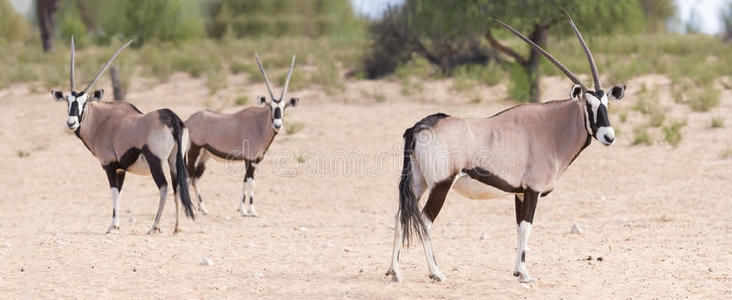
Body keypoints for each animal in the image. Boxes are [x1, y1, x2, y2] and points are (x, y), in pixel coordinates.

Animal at [50, 37, 196, 234]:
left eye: (85, 102)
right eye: (68, 101)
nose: (71, 123)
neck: (101, 120)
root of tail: (173, 119)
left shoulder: (110, 165)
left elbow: (113, 191)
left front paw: (113, 226)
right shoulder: (121, 169)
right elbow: (119, 193)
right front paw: (116, 225)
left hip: (155, 161)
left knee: (164, 187)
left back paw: (154, 226)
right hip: (175, 159)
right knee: (177, 186)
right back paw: (177, 227)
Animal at [187, 54, 298, 216]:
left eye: (284, 107)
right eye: (270, 107)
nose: (277, 125)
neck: (260, 124)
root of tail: (189, 120)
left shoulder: (252, 161)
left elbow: (246, 182)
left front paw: (242, 209)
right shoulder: (250, 160)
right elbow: (251, 184)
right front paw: (251, 210)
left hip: (205, 155)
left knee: (195, 178)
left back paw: (203, 208)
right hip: (193, 151)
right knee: (188, 176)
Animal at [386, 12, 628, 284]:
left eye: (607, 104)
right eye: (588, 105)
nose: (608, 136)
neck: (551, 128)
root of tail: (419, 127)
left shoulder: (519, 193)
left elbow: (519, 228)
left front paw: (516, 270)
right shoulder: (532, 190)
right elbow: (527, 227)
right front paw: (524, 273)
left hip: (418, 182)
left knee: (400, 217)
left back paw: (395, 271)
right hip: (441, 184)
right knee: (425, 222)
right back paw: (436, 273)